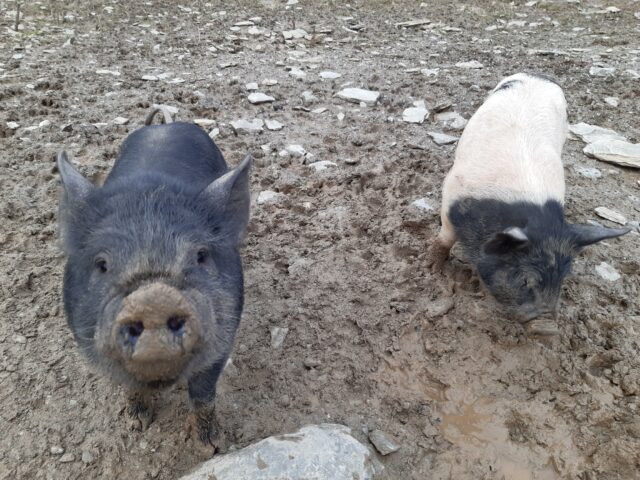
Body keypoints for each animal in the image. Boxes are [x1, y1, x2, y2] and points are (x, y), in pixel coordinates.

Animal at [56, 107, 251, 448]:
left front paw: (209, 446)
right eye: (102, 263)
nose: (154, 299)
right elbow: (131, 386)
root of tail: (165, 125)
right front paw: (137, 426)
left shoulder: (224, 337)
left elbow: (203, 393)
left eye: (201, 255)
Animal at [429, 73, 630, 333]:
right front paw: (432, 269)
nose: (548, 329)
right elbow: (444, 238)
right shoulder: (451, 194)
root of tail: (537, 76)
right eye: (525, 279)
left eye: (563, 278)